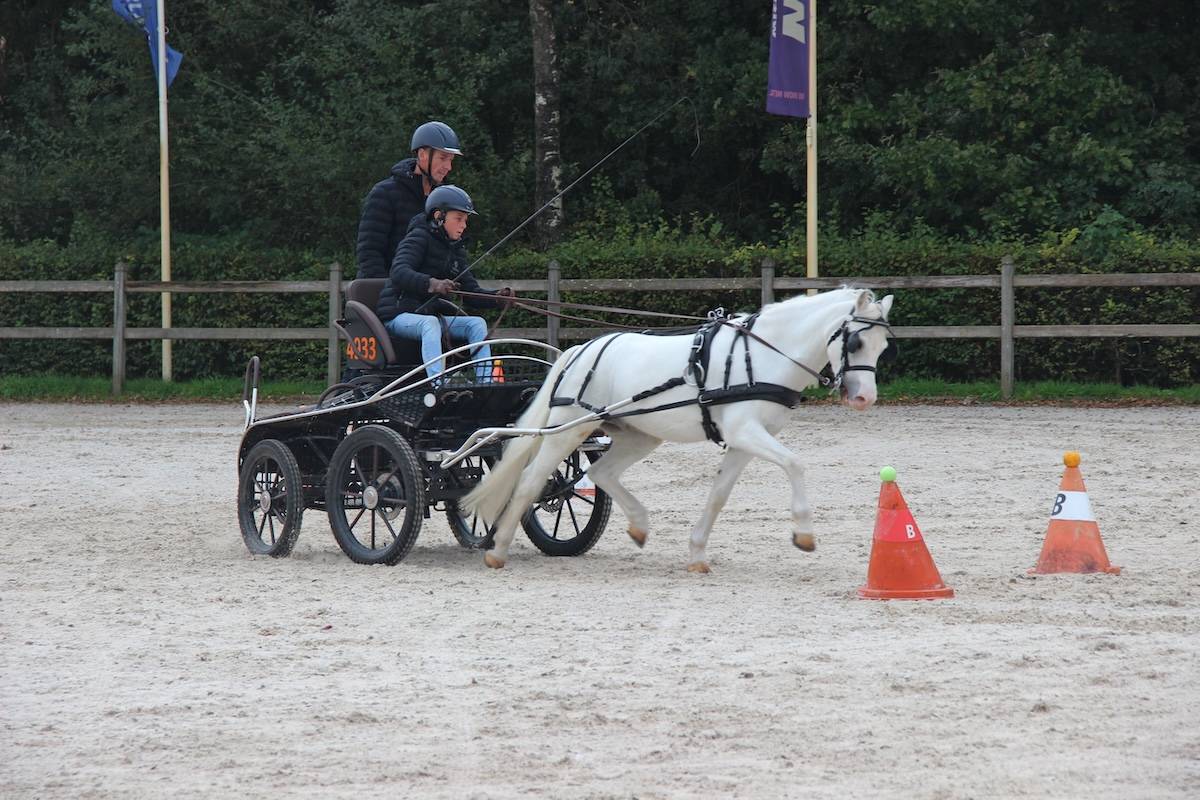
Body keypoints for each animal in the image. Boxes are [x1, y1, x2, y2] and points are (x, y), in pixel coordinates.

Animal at [463, 287, 897, 568]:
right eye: (856, 343)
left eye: (883, 348)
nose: (865, 398)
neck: (762, 356)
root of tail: (580, 350)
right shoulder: (745, 433)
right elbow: (795, 464)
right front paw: (804, 534)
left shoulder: (744, 442)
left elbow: (719, 495)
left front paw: (698, 552)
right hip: (567, 429)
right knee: (532, 481)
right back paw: (498, 550)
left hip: (638, 436)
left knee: (600, 472)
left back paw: (639, 526)